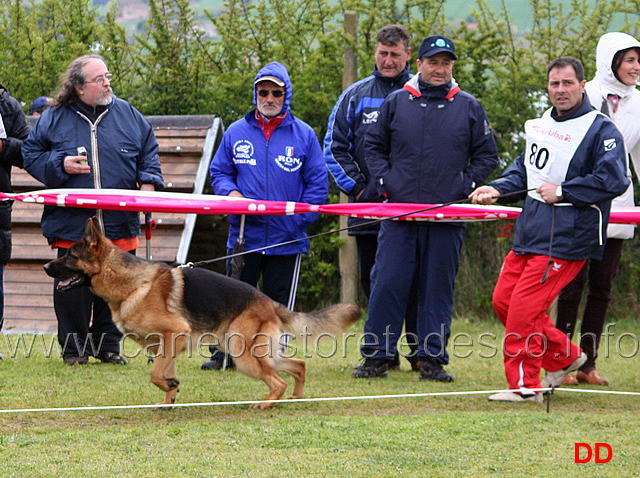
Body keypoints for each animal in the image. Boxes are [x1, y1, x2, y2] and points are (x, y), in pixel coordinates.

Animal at [45, 218, 360, 408]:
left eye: (70, 255)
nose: (46, 267)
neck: (132, 283)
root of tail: (268, 301)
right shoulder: (165, 345)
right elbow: (164, 373)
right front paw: (169, 397)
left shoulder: (174, 333)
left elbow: (156, 373)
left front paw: (168, 387)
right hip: (255, 352)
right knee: (298, 365)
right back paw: (295, 397)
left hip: (244, 355)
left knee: (279, 380)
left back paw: (268, 402)